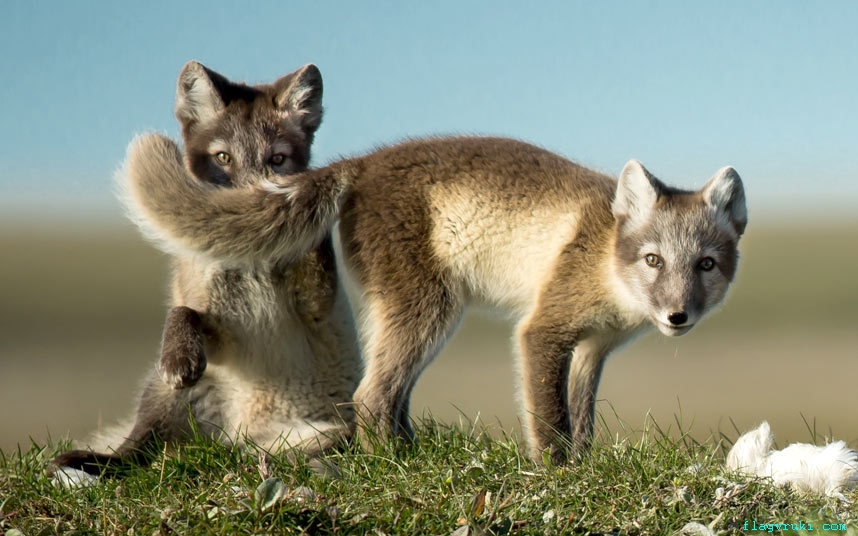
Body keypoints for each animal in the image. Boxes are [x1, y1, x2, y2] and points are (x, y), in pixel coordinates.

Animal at [52, 63, 362, 478]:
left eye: (278, 159)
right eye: (224, 157)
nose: (253, 204)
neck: (252, 267)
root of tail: (248, 434)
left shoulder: (318, 307)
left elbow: (316, 264)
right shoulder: (221, 327)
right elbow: (184, 311)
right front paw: (181, 355)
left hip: (333, 430)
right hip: (169, 394)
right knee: (138, 449)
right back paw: (96, 461)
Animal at [120, 131, 744, 464]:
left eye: (705, 265)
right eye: (653, 260)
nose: (677, 315)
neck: (606, 262)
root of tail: (362, 163)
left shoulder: (593, 347)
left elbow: (581, 415)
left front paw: (584, 463)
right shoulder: (543, 330)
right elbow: (549, 417)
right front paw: (557, 473)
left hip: (410, 313)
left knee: (390, 395)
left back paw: (409, 453)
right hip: (428, 309)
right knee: (372, 395)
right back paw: (391, 465)